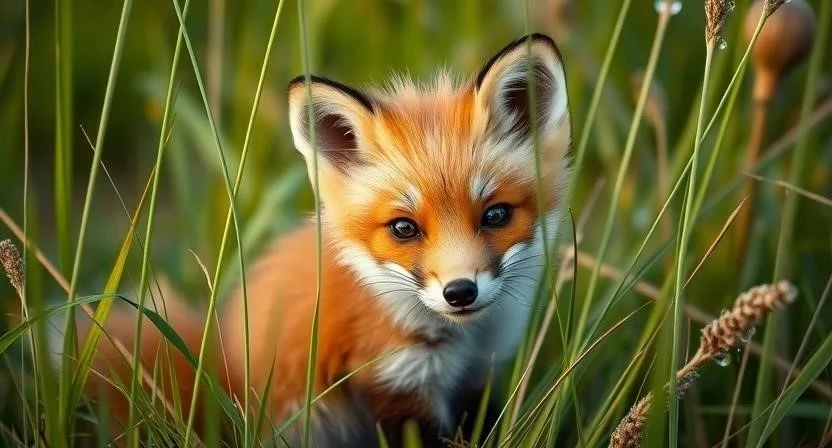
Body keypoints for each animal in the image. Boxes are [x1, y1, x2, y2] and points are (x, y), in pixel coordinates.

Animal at [68, 33, 572, 447]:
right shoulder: (394, 378)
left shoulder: (480, 377)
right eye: (404, 228)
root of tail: (223, 367)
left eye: (496, 215)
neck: (466, 341)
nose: (460, 291)